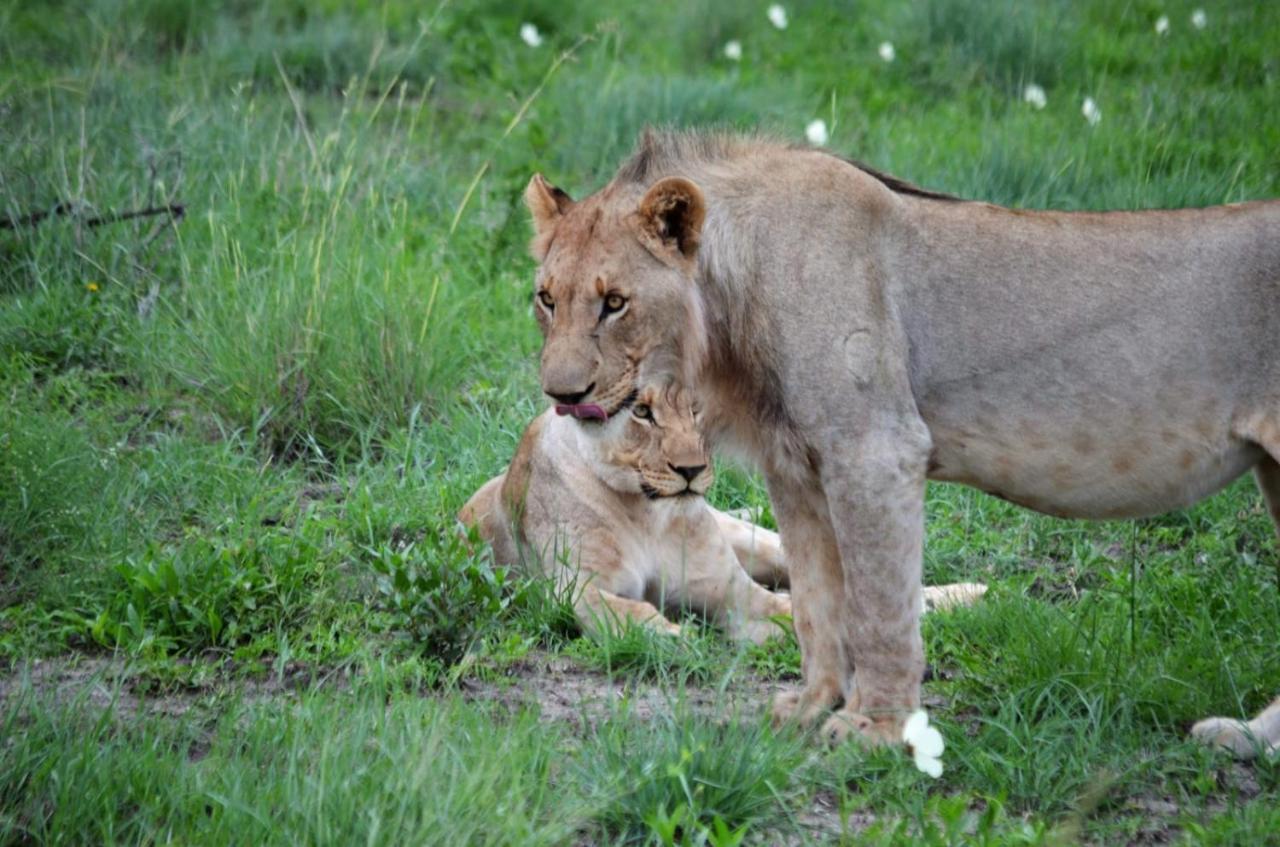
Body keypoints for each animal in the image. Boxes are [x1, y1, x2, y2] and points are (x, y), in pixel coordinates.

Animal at [460, 381, 988, 647]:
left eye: (698, 410)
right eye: (642, 413)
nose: (691, 469)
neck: (648, 513)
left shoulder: (736, 596)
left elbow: (793, 612)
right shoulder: (571, 586)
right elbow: (617, 608)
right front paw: (668, 635)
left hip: (760, 542)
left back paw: (972, 594)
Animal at [519, 127, 1280, 757]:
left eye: (615, 302)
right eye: (547, 298)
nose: (561, 395)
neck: (729, 304)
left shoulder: (875, 448)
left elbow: (879, 606)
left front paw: (875, 730)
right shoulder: (794, 467)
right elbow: (819, 604)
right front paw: (810, 708)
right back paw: (1243, 739)